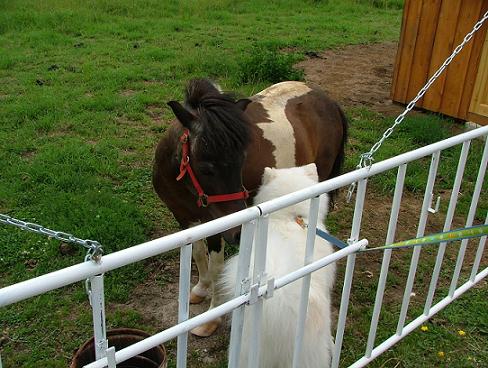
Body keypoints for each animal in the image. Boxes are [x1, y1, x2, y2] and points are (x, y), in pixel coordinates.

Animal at [152, 78, 346, 336]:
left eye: (242, 160)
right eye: (205, 167)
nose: (239, 230)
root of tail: (329, 101)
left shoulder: (217, 226)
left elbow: (217, 268)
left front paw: (211, 319)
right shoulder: (184, 219)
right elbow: (198, 255)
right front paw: (201, 289)